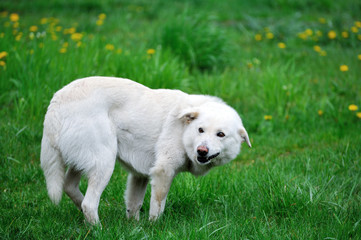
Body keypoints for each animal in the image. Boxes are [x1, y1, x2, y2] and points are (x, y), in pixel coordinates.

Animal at [40, 77, 250, 225]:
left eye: (220, 134)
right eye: (201, 130)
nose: (202, 151)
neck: (184, 132)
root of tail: (55, 103)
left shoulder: (139, 175)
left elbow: (134, 205)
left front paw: (135, 227)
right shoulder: (163, 172)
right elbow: (157, 206)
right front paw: (154, 226)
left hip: (83, 162)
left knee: (69, 186)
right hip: (104, 164)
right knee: (89, 204)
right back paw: (99, 229)